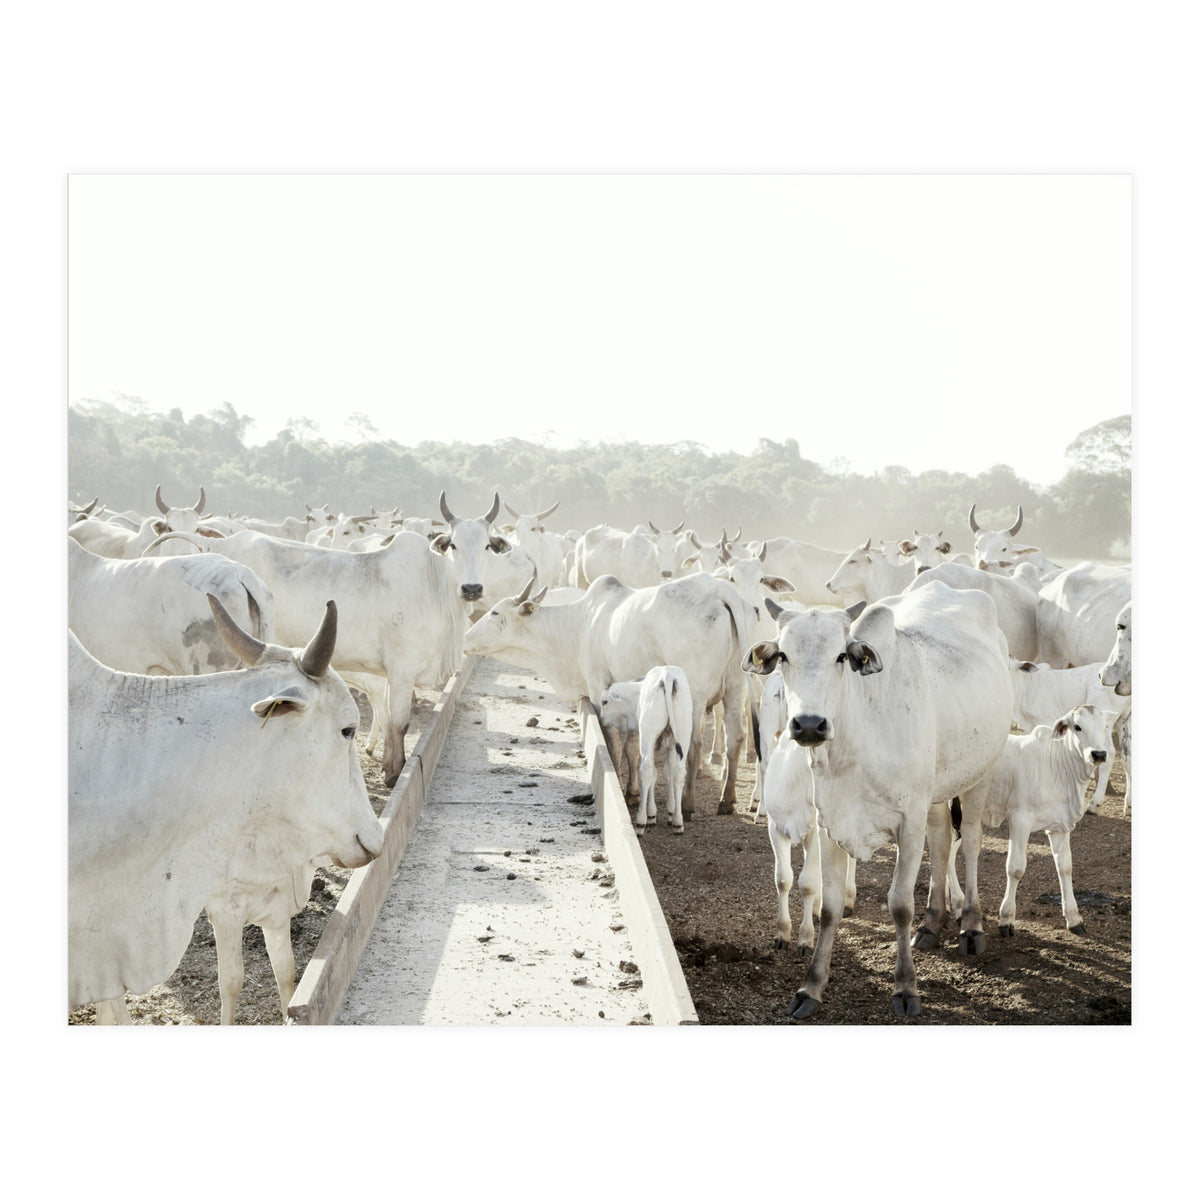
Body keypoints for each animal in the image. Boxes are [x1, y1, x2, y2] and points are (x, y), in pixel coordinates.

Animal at [206, 528, 466, 787]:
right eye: (453, 545)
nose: (471, 588)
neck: (433, 582)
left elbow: (387, 718)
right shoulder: (402, 667)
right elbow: (398, 723)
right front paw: (395, 773)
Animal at [463, 573, 754, 817]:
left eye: (495, 612)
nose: (466, 639)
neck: (580, 624)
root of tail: (718, 590)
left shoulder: (597, 688)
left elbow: (612, 742)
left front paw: (618, 786)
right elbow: (633, 747)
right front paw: (633, 791)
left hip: (694, 695)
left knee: (694, 744)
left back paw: (688, 802)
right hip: (736, 689)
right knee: (736, 738)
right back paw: (727, 800)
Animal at [598, 666, 694, 834]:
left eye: (605, 701)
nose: (601, 719)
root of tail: (667, 675)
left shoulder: (650, 742)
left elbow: (653, 774)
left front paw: (651, 815)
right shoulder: (671, 744)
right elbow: (668, 772)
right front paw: (670, 812)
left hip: (648, 736)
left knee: (646, 770)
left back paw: (640, 822)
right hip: (683, 733)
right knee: (679, 772)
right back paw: (678, 822)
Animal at [742, 581, 1012, 1018]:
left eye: (841, 655)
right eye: (783, 654)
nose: (809, 725)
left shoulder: (908, 820)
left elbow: (899, 904)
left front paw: (905, 988)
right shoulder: (830, 823)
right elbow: (829, 906)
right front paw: (811, 987)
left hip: (980, 772)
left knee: (969, 840)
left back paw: (971, 924)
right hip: (935, 792)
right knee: (941, 841)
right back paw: (932, 923)